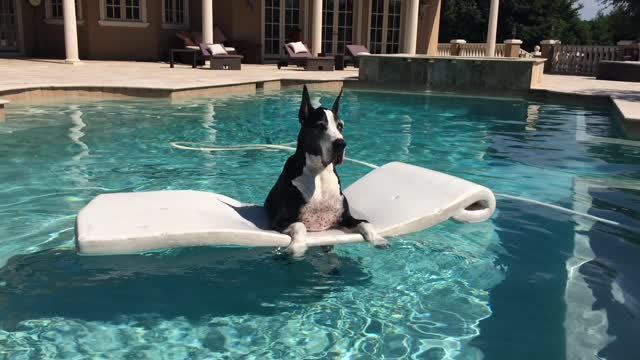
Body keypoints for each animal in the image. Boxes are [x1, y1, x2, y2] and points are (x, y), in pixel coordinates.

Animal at [262, 86, 388, 258]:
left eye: (340, 126)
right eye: (320, 126)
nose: (341, 144)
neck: (319, 172)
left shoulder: (345, 218)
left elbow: (365, 223)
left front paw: (378, 239)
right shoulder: (279, 221)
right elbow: (300, 225)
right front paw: (297, 247)